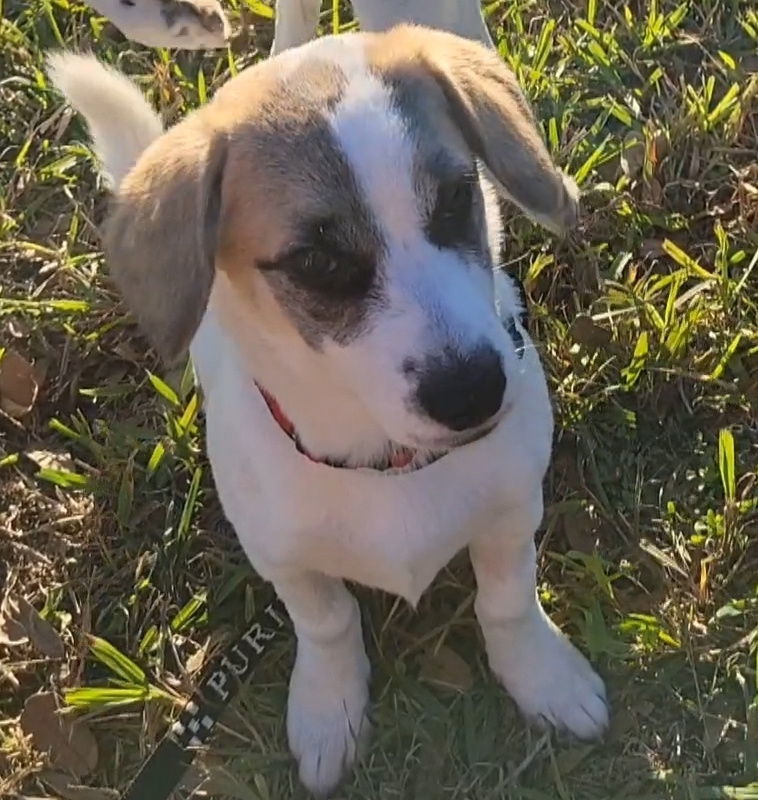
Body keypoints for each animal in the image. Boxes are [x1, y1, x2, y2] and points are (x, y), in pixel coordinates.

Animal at [47, 28, 608, 796]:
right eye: (315, 263)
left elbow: (508, 600)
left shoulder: (510, 509)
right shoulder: (283, 556)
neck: (388, 464)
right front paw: (329, 707)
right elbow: (328, 623)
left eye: (457, 198)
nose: (475, 392)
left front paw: (542, 677)